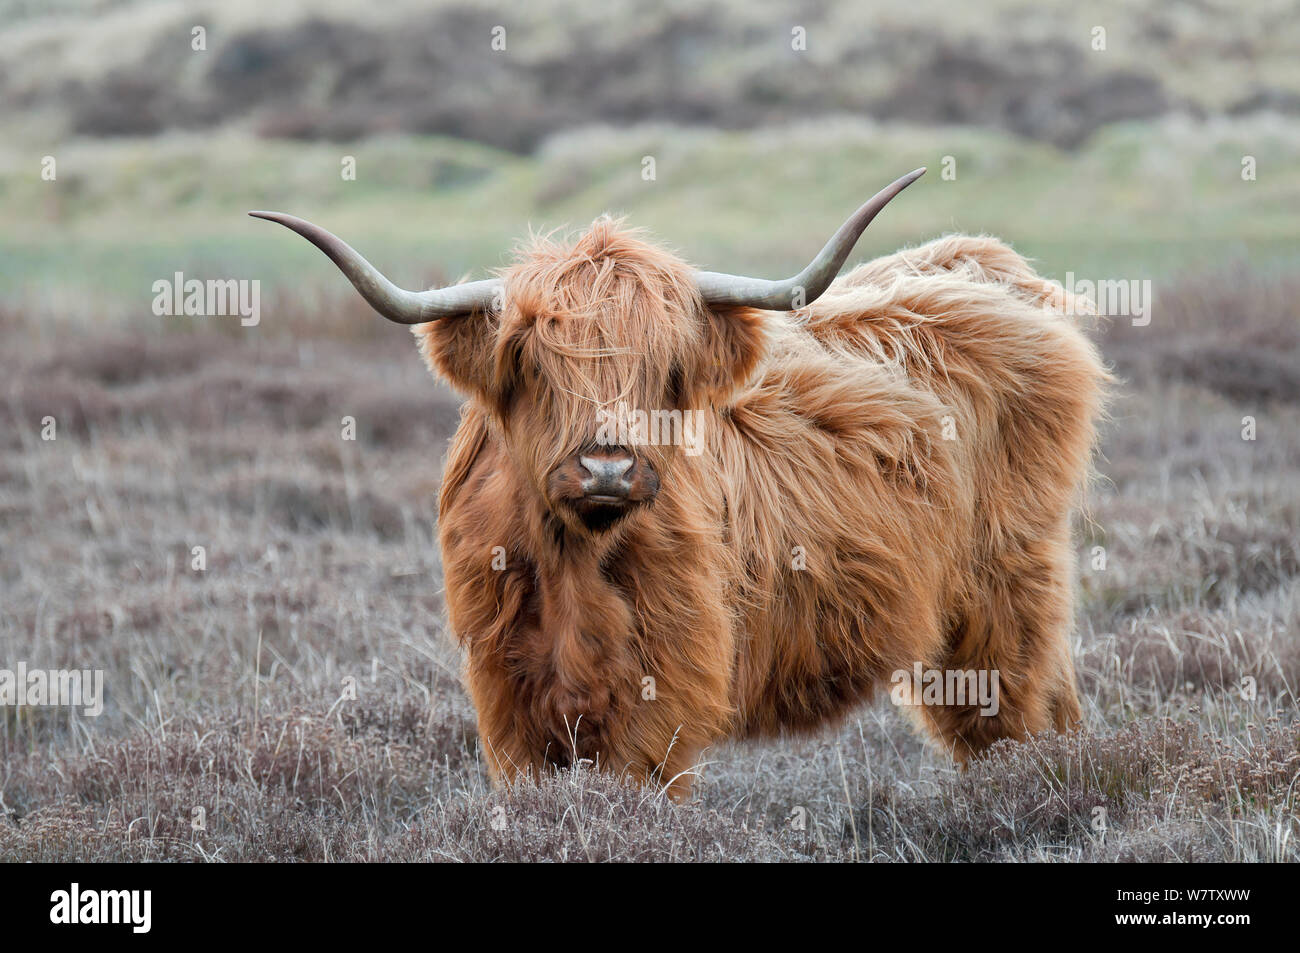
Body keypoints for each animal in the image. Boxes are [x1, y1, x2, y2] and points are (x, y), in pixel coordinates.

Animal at [253, 169, 1107, 795]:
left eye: (663, 366)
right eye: (532, 360)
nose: (606, 465)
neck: (573, 570)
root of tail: (987, 265)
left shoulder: (660, 700)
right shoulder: (505, 701)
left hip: (1005, 589)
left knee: (1020, 712)